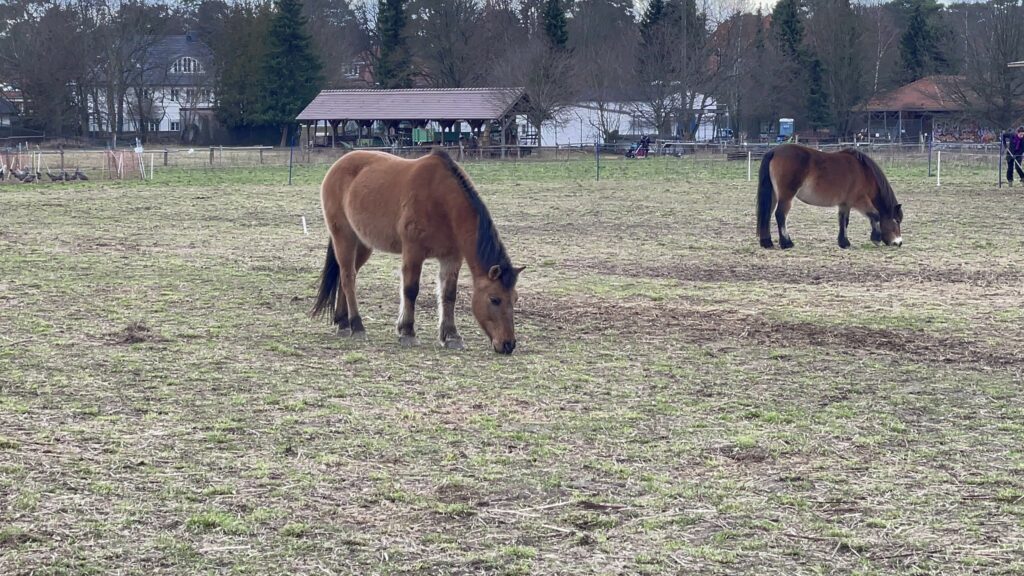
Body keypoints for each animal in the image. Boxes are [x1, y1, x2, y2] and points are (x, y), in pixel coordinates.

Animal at [311, 146, 524, 354]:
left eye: (514, 299)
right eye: (495, 299)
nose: (508, 344)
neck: (441, 201)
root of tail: (338, 165)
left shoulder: (452, 258)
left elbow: (449, 295)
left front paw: (451, 336)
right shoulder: (413, 253)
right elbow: (411, 290)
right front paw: (407, 331)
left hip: (363, 244)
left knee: (345, 276)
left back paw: (342, 322)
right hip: (344, 237)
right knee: (348, 277)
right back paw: (356, 325)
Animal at [753, 142, 905, 248]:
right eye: (896, 220)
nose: (899, 242)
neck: (864, 172)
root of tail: (774, 151)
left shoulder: (845, 204)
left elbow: (844, 221)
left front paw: (844, 242)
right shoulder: (859, 200)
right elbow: (876, 215)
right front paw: (876, 238)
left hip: (773, 195)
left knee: (767, 214)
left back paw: (766, 242)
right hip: (786, 196)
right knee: (780, 215)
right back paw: (786, 243)